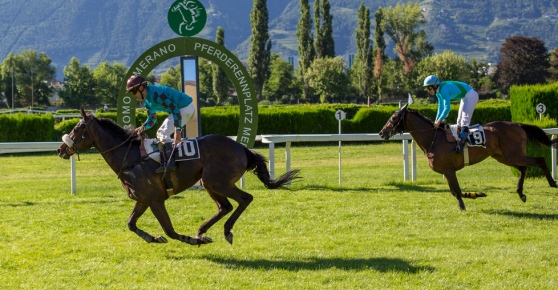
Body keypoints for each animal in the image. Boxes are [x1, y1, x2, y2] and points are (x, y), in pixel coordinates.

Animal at [57, 109, 302, 245]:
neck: (131, 157)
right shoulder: (143, 200)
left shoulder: (155, 199)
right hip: (209, 183)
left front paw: (190, 241)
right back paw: (203, 230)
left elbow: (170, 230)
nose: (61, 149)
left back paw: (223, 231)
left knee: (245, 199)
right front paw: (154, 238)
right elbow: (130, 224)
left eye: (77, 128)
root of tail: (242, 148)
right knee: (225, 206)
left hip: (217, 181)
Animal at [378, 104, 556, 211]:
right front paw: (477, 194)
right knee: (523, 168)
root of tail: (518, 124)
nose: (381, 132)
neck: (433, 138)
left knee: (539, 160)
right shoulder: (447, 171)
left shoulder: (449, 170)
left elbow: (456, 191)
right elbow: (454, 191)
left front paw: (463, 205)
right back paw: (521, 193)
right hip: (504, 157)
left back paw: (553, 183)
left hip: (513, 155)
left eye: (394, 118)